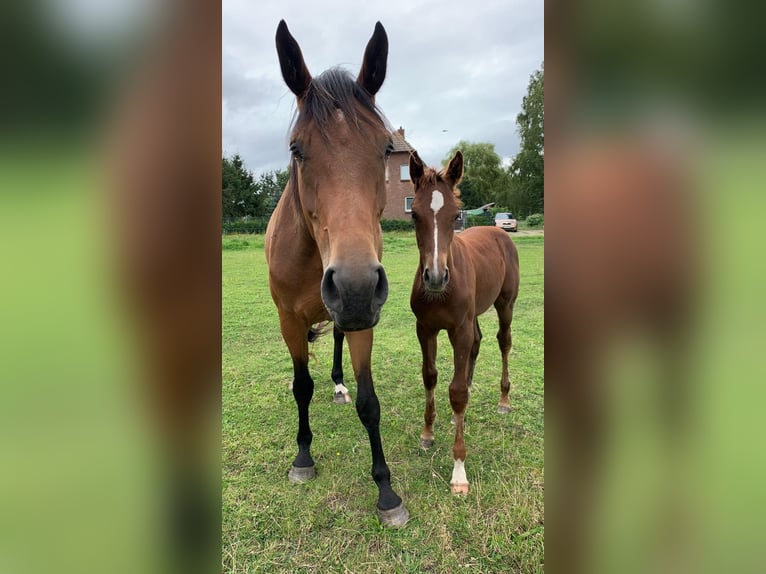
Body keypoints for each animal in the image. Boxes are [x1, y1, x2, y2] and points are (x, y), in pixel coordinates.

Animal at [266, 20, 412, 528]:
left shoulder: (363, 321)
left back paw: (338, 382)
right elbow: (301, 387)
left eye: (386, 148)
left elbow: (370, 403)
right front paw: (303, 458)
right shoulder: (290, 321)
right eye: (296, 149)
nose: (355, 286)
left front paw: (387, 492)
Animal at [408, 151, 520, 498]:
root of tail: (499, 231)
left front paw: (459, 472)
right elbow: (430, 376)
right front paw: (428, 432)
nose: (434, 277)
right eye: (414, 215)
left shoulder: (459, 328)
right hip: (473, 317)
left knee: (503, 341)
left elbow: (455, 392)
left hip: (504, 305)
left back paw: (504, 400)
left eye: (456, 214)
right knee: (478, 341)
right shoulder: (425, 328)